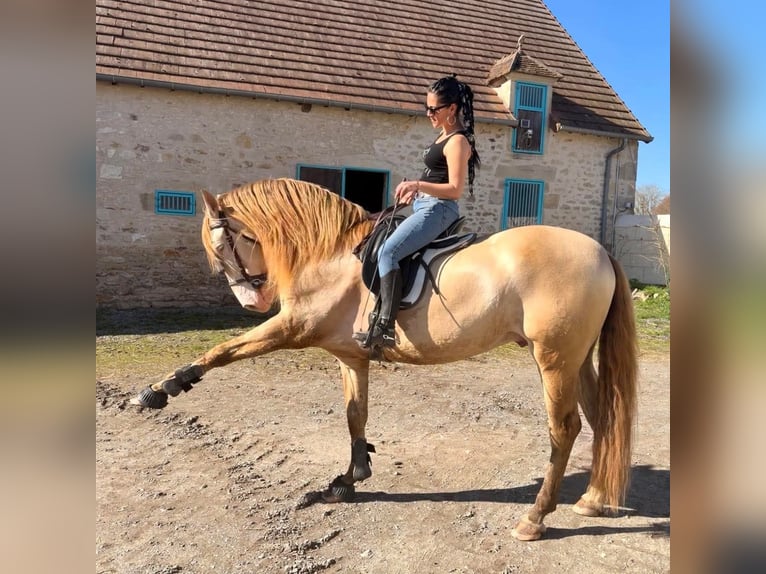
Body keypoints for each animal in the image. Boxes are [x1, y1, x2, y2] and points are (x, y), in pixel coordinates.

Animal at [130, 177, 638, 541]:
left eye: (222, 247)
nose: (251, 303)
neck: (329, 254)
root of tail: (598, 250)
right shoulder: (350, 356)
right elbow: (356, 415)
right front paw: (348, 480)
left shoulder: (291, 329)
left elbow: (221, 351)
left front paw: (161, 389)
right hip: (577, 359)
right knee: (602, 418)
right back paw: (593, 498)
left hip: (554, 359)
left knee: (565, 428)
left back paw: (535, 517)